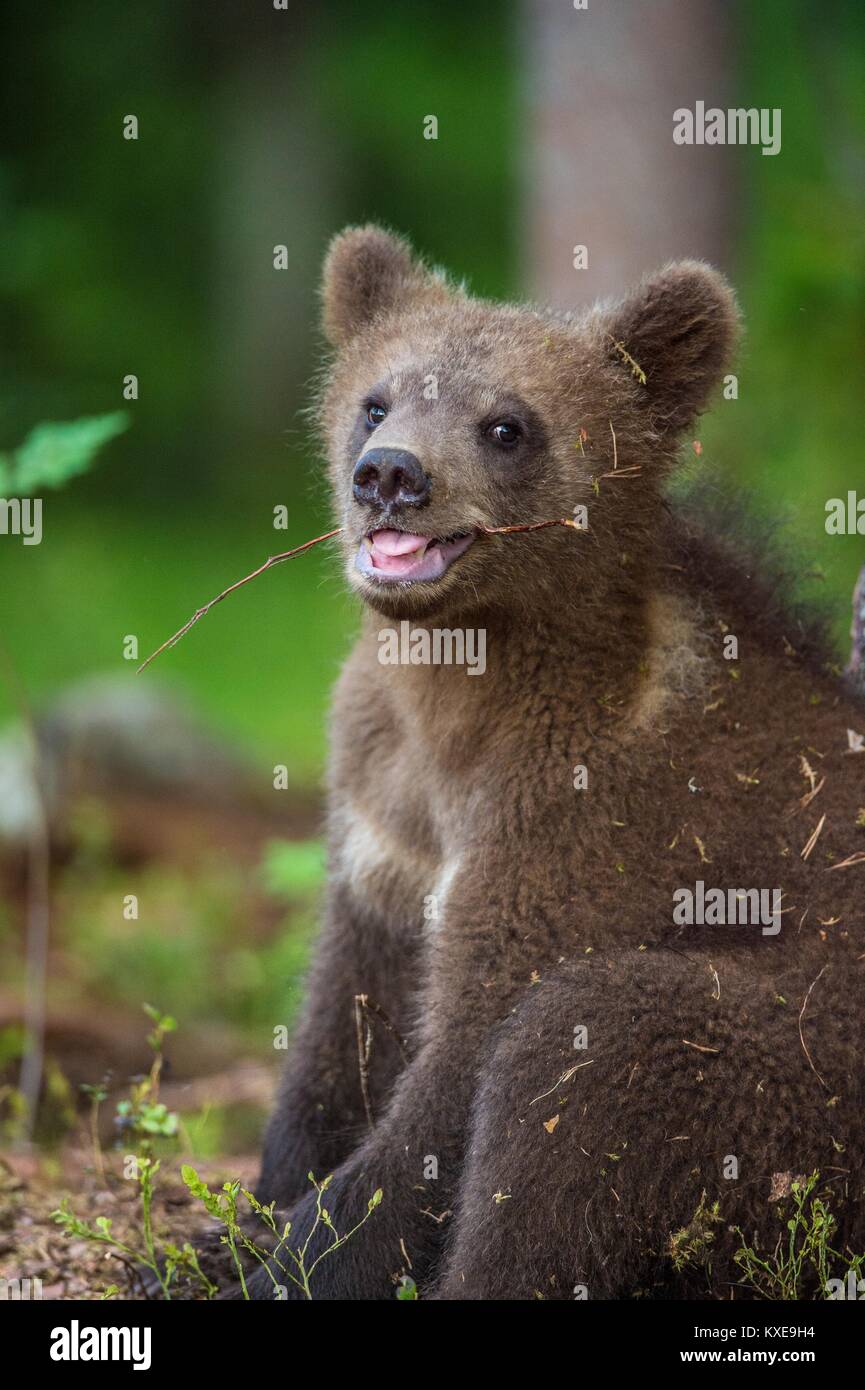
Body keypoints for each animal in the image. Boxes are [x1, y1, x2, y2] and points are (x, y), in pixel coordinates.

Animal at [252, 225, 865, 1300]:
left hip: (815, 1076)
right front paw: (257, 1202)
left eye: (506, 425)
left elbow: (464, 1062)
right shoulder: (382, 804)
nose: (389, 474)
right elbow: (342, 1015)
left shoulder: (584, 820)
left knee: (587, 1060)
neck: (464, 704)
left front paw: (298, 1254)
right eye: (376, 398)